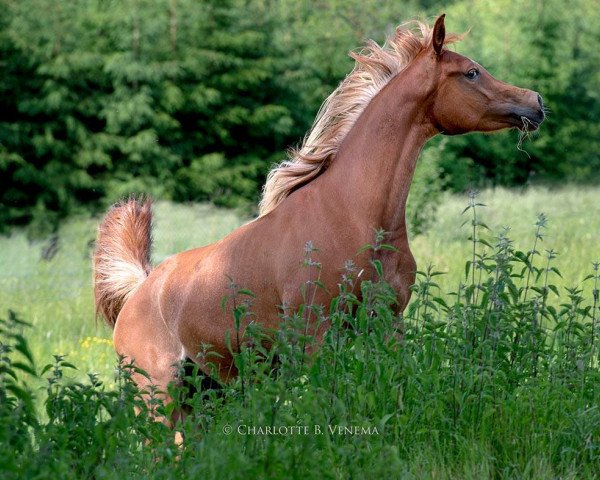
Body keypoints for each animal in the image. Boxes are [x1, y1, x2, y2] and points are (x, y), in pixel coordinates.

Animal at [92, 13, 544, 424]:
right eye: (471, 72)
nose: (536, 102)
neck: (355, 215)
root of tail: (139, 290)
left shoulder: (388, 323)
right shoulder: (316, 336)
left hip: (205, 392)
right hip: (157, 397)